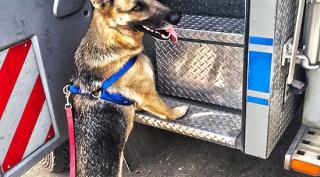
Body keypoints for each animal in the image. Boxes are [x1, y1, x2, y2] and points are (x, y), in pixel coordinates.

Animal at [70, 0, 188, 176]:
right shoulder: (148, 95)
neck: (114, 36)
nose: (177, 17)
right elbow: (165, 110)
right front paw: (177, 112)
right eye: (137, 7)